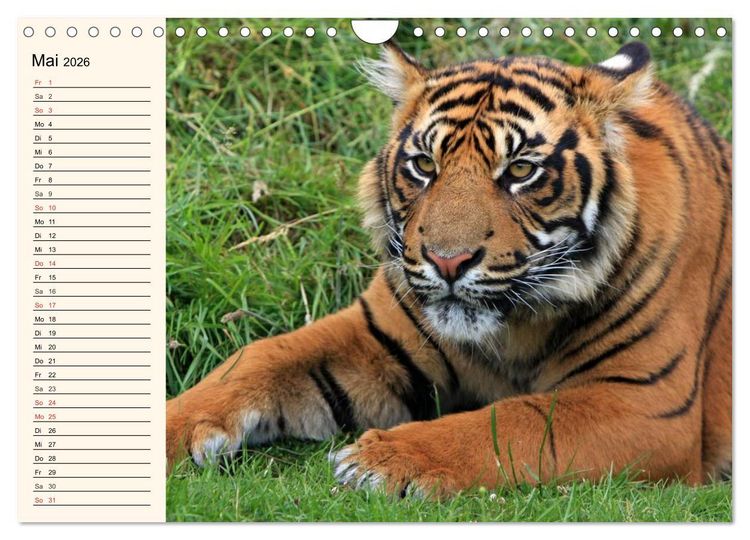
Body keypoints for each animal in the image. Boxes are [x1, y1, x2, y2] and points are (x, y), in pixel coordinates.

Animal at [166, 41, 732, 499]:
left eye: (520, 170)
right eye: (424, 165)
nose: (448, 261)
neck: (514, 330)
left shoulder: (646, 402)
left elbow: (518, 420)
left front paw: (381, 459)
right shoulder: (375, 335)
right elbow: (260, 357)